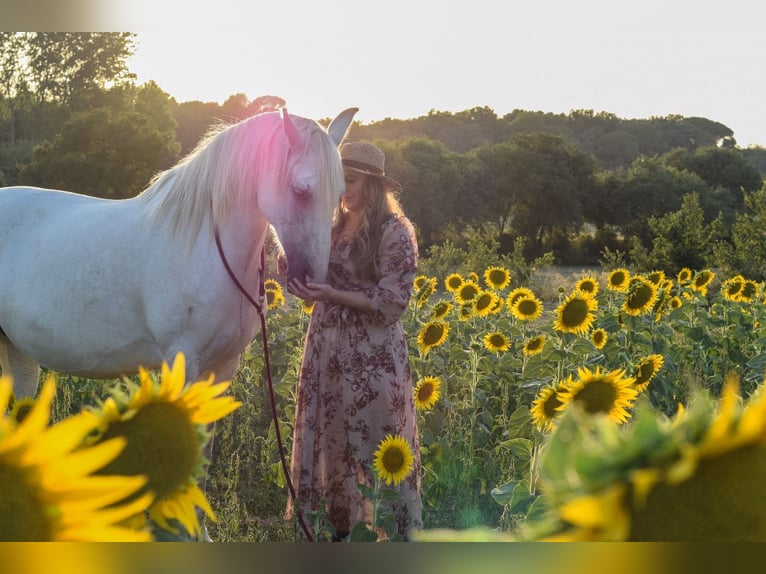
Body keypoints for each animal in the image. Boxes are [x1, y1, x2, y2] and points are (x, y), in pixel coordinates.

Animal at [0, 108, 356, 398]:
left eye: (340, 194)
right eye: (300, 191)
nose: (311, 281)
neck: (206, 251)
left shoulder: (223, 368)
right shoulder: (182, 362)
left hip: (17, 351)